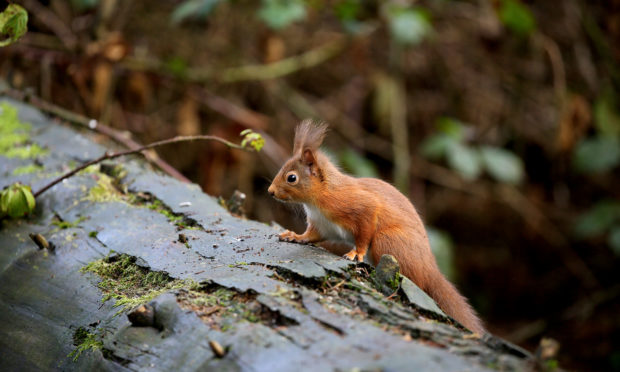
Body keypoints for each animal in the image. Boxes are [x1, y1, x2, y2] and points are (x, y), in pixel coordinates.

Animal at [268, 120, 486, 334]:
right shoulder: (322, 225)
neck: (318, 198)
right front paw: (294, 236)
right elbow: (310, 236)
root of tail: (429, 267)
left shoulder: (361, 207)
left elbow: (365, 231)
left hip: (387, 241)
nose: (270, 192)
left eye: (291, 178)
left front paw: (356, 253)